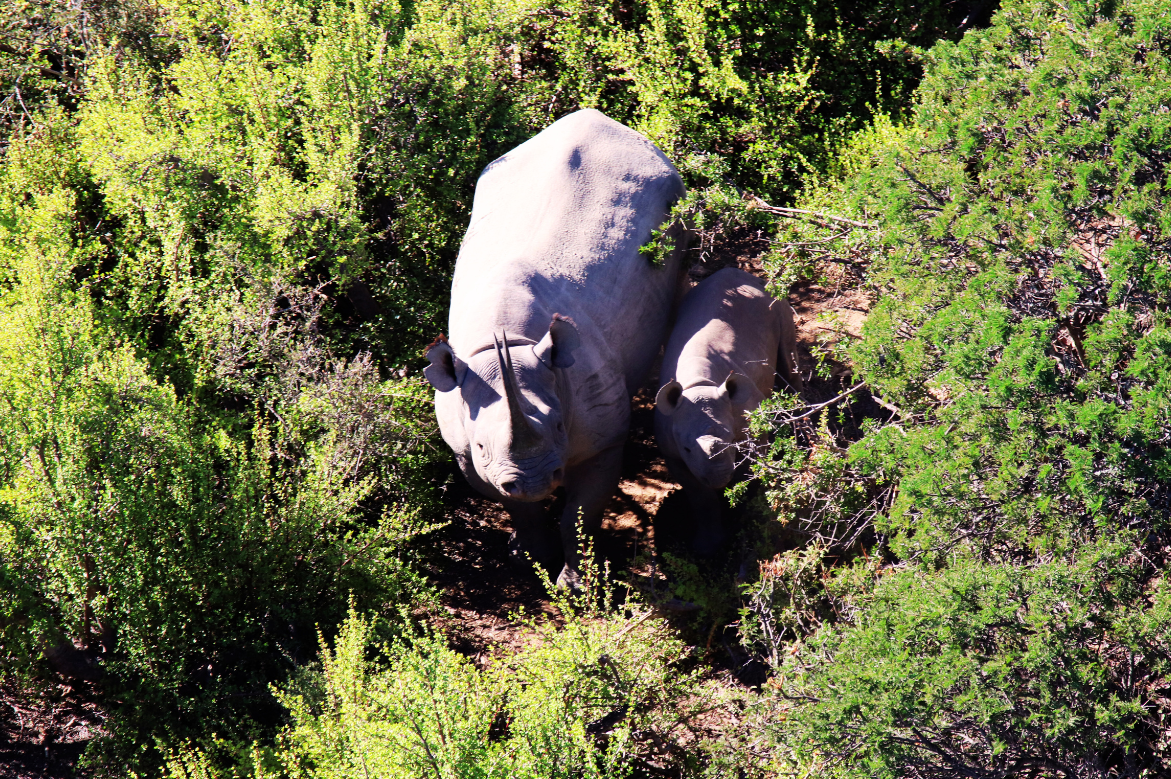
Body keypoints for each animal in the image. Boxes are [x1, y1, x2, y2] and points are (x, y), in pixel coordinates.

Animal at [423, 109, 687, 587]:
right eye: (482, 446)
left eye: (561, 426)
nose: (533, 481)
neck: (507, 344)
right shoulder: (469, 455)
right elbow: (518, 509)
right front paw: (530, 558)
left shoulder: (602, 437)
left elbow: (579, 513)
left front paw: (577, 584)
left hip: (671, 195)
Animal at [654, 267, 802, 552]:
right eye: (687, 448)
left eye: (732, 439)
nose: (719, 475)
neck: (698, 385)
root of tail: (740, 273)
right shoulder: (671, 448)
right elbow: (700, 498)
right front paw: (707, 547)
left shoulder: (750, 419)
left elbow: (753, 470)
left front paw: (748, 521)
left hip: (774, 300)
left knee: (789, 361)